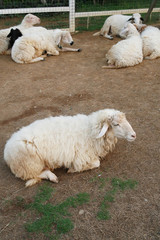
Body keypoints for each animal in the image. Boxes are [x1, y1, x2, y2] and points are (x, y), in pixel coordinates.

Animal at [3, 108, 136, 187]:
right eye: (116, 124)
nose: (134, 135)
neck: (89, 131)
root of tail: (6, 152)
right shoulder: (81, 157)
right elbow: (96, 163)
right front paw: (72, 169)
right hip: (29, 164)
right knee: (33, 175)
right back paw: (52, 176)